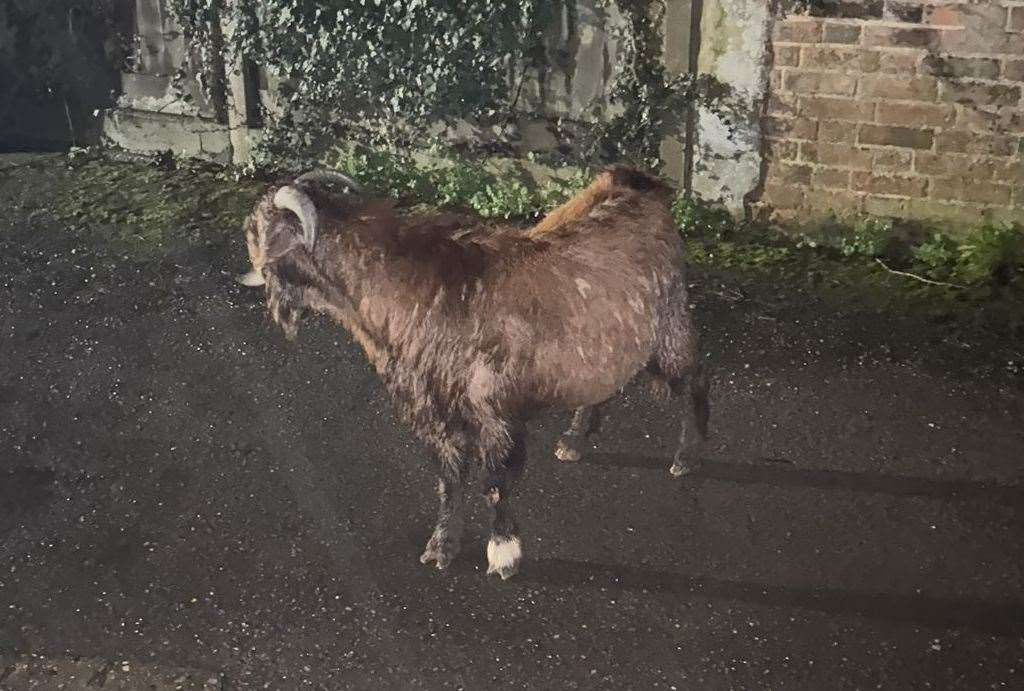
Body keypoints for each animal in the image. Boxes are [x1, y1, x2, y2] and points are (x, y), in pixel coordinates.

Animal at [236, 165, 708, 577]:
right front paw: (441, 545)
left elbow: (494, 483)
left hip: (668, 328)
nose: (248, 276)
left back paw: (687, 456)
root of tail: (640, 184)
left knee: (695, 379)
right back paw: (575, 438)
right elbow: (448, 480)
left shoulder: (493, 413)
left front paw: (504, 552)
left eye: (254, 229)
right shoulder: (433, 413)